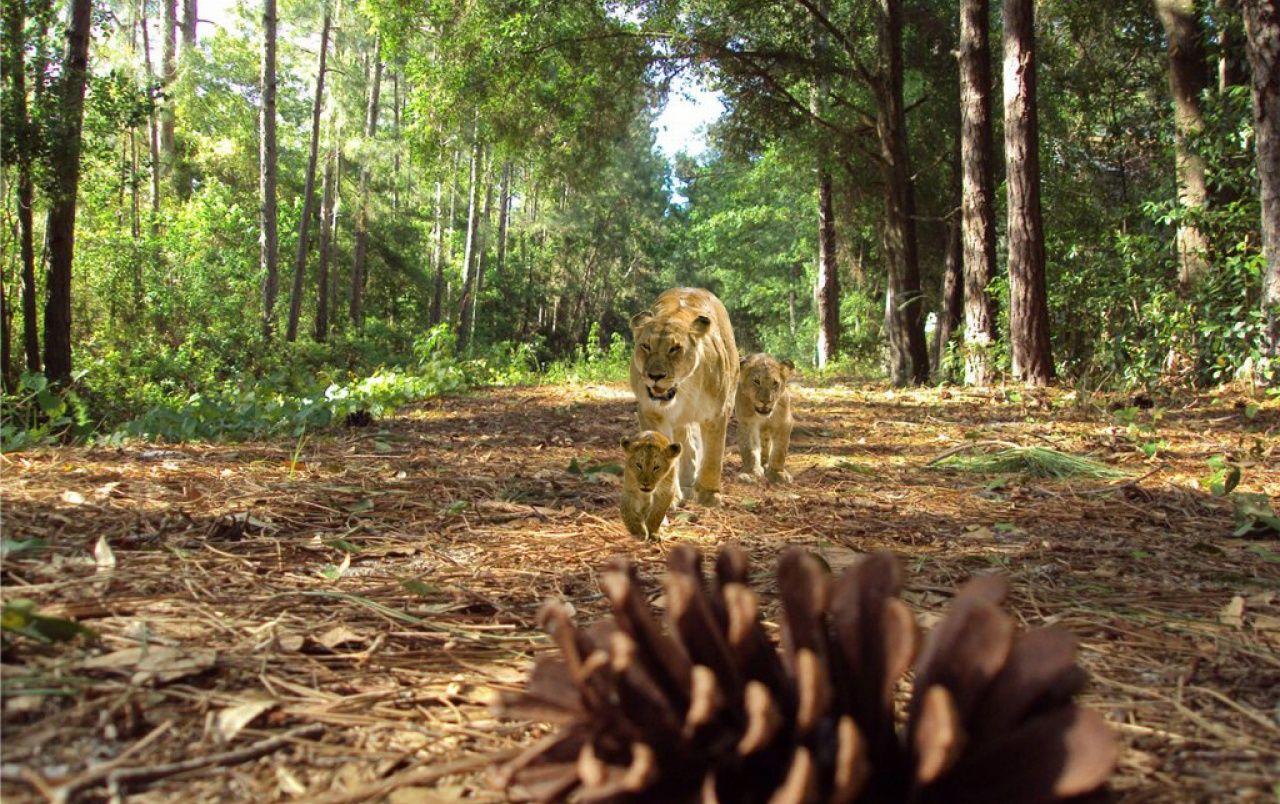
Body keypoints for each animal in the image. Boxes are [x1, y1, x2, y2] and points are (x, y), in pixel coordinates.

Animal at [630, 288, 739, 506]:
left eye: (674, 348)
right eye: (646, 346)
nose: (655, 376)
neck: (683, 389)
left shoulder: (716, 414)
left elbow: (713, 454)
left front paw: (708, 494)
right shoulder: (650, 413)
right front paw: (665, 497)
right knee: (687, 446)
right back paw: (687, 483)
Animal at [735, 353, 795, 484]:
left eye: (775, 383)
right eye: (756, 381)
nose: (766, 401)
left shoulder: (784, 422)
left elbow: (780, 450)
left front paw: (777, 473)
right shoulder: (747, 422)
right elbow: (750, 449)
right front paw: (751, 473)